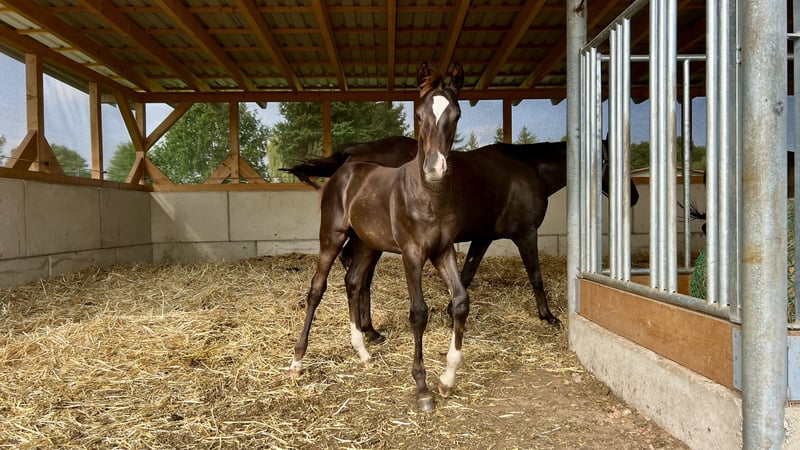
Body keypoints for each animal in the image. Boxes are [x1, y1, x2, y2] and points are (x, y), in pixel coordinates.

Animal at [283, 138, 640, 339]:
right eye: (611, 162)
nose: (634, 197)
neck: (530, 170)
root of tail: (356, 154)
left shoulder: (483, 237)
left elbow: (467, 273)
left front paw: (447, 309)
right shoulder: (525, 233)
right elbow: (535, 275)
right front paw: (548, 316)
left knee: (356, 276)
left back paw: (368, 330)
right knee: (358, 276)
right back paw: (366, 330)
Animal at [289, 63, 466, 412]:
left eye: (456, 114)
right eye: (420, 115)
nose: (434, 168)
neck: (429, 196)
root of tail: (343, 172)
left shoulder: (443, 251)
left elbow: (460, 302)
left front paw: (446, 380)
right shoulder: (413, 254)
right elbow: (418, 313)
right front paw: (422, 389)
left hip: (367, 244)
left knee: (354, 282)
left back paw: (363, 351)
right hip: (332, 237)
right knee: (317, 289)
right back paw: (298, 362)